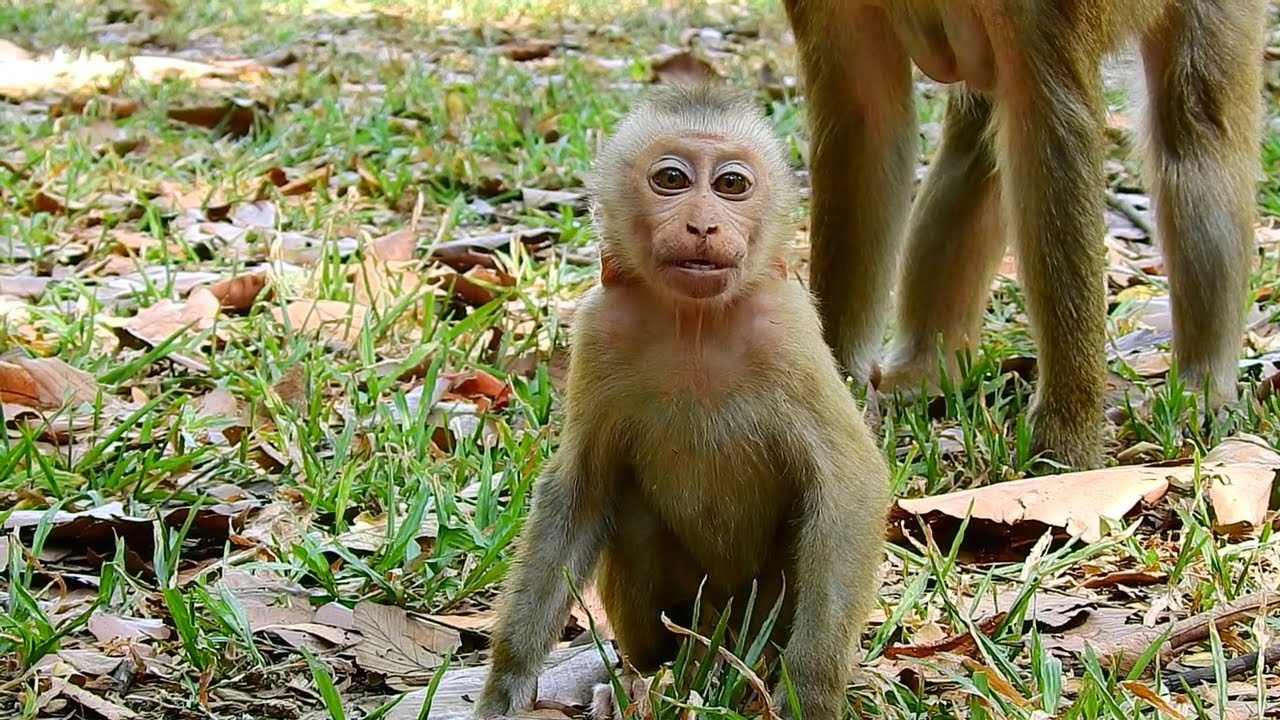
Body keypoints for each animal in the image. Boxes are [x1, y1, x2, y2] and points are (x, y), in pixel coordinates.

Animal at [472, 84, 891, 720]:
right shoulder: (600, 329)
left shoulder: (789, 330)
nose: (702, 225)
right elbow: (581, 491)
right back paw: (654, 672)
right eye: (671, 179)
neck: (694, 323)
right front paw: (507, 682)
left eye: (732, 184)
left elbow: (849, 487)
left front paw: (810, 693)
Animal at [783, 0, 1266, 470]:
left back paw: (1203, 385)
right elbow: (863, 114)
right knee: (978, 141)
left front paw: (1066, 443)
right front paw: (838, 388)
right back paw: (924, 369)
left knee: (1195, 130)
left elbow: (1051, 132)